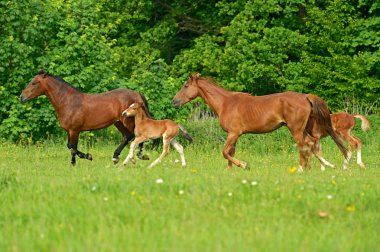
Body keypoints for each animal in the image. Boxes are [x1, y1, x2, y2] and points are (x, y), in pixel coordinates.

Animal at [19, 69, 150, 165]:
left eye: (34, 83)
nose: (21, 97)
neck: (68, 102)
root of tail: (137, 95)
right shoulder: (69, 130)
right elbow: (70, 147)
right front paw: (77, 161)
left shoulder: (74, 130)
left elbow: (73, 148)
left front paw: (84, 158)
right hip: (118, 122)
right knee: (127, 136)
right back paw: (116, 157)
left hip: (127, 121)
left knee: (137, 135)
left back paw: (140, 155)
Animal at [172, 73, 348, 171]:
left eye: (186, 85)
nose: (174, 101)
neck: (225, 103)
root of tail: (305, 96)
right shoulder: (234, 135)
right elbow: (230, 153)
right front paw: (230, 171)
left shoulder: (233, 133)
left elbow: (225, 152)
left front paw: (245, 165)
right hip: (305, 128)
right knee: (312, 144)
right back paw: (318, 167)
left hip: (295, 129)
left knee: (303, 147)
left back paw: (301, 169)